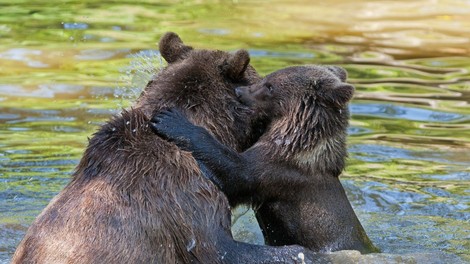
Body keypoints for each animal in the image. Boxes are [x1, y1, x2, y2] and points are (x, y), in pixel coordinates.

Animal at [151, 64, 382, 254]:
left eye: (270, 86)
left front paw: (170, 119)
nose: (239, 92)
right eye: (268, 78)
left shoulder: (279, 173)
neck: (293, 140)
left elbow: (236, 173)